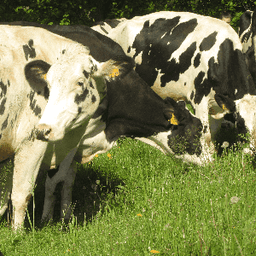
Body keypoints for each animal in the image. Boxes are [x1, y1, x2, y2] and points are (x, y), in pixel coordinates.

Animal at [0, 24, 207, 228]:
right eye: (197, 131)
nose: (210, 163)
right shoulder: (45, 142)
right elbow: (43, 184)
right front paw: (44, 220)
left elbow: (66, 180)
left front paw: (65, 216)